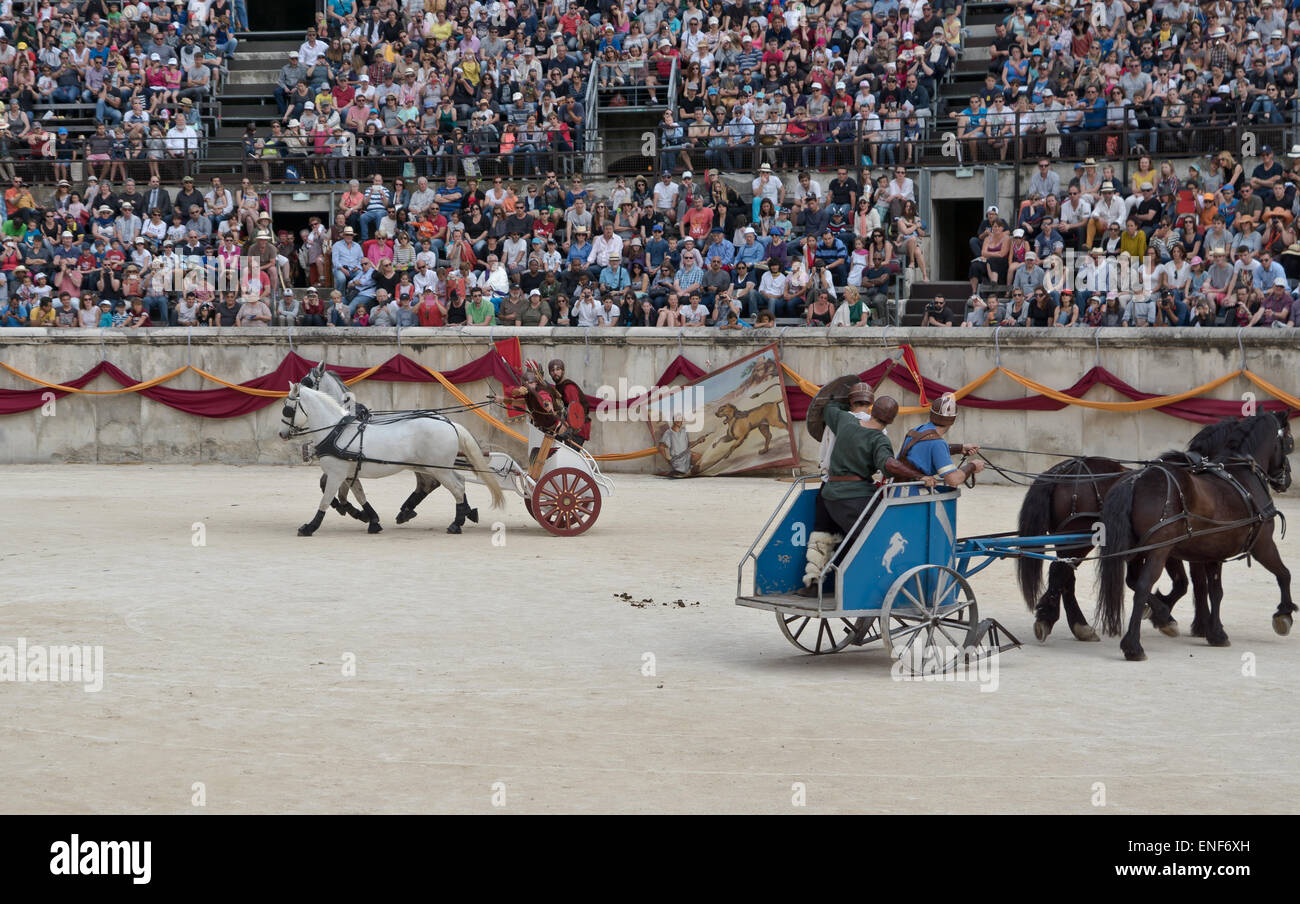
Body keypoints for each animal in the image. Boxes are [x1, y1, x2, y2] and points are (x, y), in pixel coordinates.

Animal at [279, 382, 501, 538]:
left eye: (287, 409)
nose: (281, 433)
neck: (336, 431)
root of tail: (449, 423)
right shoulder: (350, 474)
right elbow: (359, 496)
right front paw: (372, 521)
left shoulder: (336, 474)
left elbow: (325, 500)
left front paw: (309, 527)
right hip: (433, 467)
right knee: (457, 483)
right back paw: (464, 514)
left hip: (438, 469)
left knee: (456, 487)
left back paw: (456, 524)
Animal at [1092, 413, 1294, 660]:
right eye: (1289, 442)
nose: (1287, 480)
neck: (1242, 476)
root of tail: (1136, 479)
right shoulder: (1263, 545)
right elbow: (1283, 574)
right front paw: (1285, 613)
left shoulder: (1212, 553)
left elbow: (1213, 591)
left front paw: (1214, 632)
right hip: (1158, 551)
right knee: (1142, 586)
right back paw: (1134, 644)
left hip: (1138, 550)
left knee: (1133, 581)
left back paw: (1160, 616)